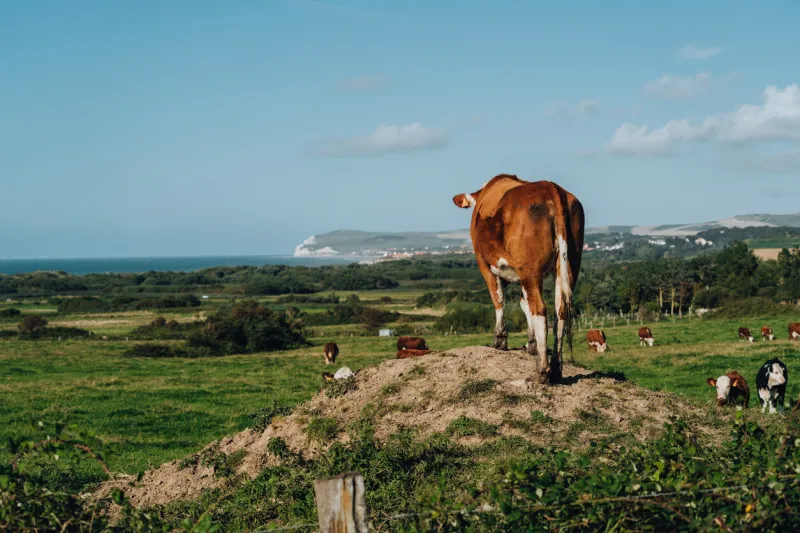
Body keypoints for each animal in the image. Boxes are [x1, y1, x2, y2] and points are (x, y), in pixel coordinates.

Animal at [453, 175, 584, 384]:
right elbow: (524, 305)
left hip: (530, 269)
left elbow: (499, 299)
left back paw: (542, 371)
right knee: (560, 310)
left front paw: (499, 340)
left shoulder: (485, 265)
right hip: (569, 265)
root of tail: (551, 187)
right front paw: (531, 345)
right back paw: (555, 368)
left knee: (539, 308)